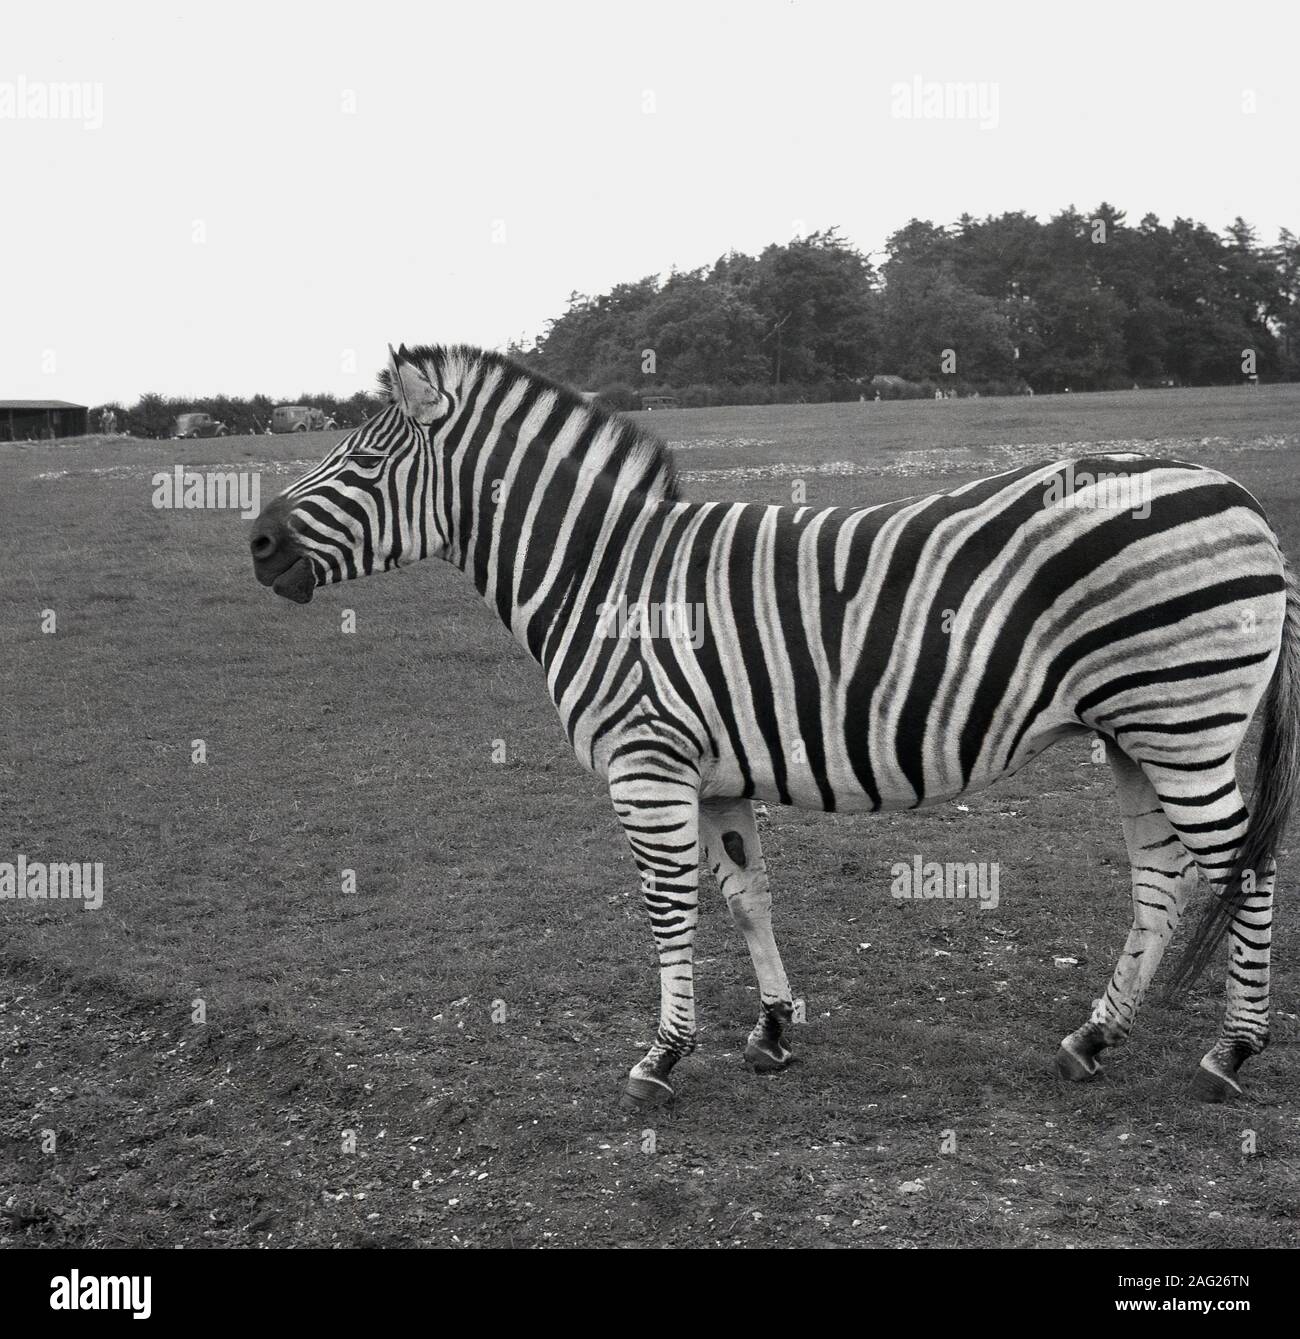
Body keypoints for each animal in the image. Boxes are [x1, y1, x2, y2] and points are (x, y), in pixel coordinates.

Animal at [250, 344, 1299, 1108]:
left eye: (366, 460)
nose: (256, 544)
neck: (604, 578)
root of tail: (1242, 497)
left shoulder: (646, 763)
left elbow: (668, 907)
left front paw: (663, 1056)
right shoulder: (712, 773)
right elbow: (747, 897)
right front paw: (772, 1031)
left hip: (1186, 724)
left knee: (1243, 866)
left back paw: (1233, 1050)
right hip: (1135, 732)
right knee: (1162, 880)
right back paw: (1094, 1036)